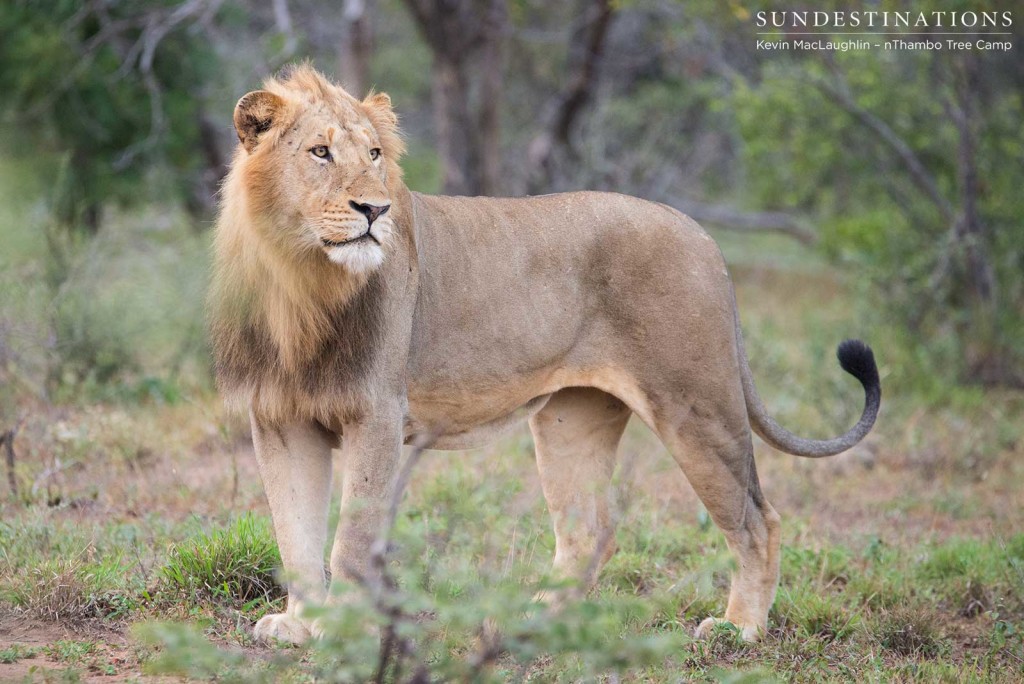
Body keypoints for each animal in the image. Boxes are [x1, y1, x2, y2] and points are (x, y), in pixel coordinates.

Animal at [207, 65, 880, 647]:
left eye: (374, 155)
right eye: (319, 153)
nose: (375, 210)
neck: (299, 280)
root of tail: (702, 235)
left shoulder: (376, 412)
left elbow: (350, 538)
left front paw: (342, 629)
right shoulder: (279, 419)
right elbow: (293, 532)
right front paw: (299, 624)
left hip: (698, 404)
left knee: (757, 521)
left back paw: (739, 629)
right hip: (571, 417)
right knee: (591, 528)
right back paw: (535, 620)